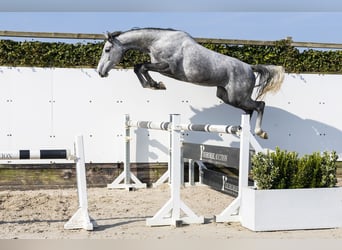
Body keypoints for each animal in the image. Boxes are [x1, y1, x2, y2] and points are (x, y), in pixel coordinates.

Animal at [96, 28, 284, 141]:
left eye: (107, 50)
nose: (100, 72)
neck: (157, 41)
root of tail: (250, 67)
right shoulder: (161, 67)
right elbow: (139, 67)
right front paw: (154, 85)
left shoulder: (168, 67)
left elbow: (142, 66)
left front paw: (156, 85)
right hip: (227, 97)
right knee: (249, 110)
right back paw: (240, 128)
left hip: (237, 97)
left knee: (260, 105)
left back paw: (260, 132)